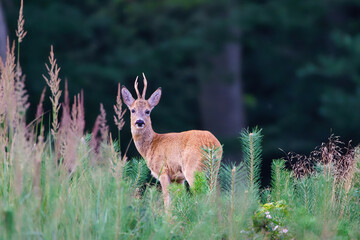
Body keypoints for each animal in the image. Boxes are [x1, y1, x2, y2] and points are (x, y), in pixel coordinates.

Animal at [121, 74, 222, 207]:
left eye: (148, 111)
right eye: (133, 110)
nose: (139, 122)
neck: (151, 145)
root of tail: (211, 145)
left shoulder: (163, 171)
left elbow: (167, 201)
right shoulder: (178, 178)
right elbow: (178, 200)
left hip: (194, 168)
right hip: (213, 170)